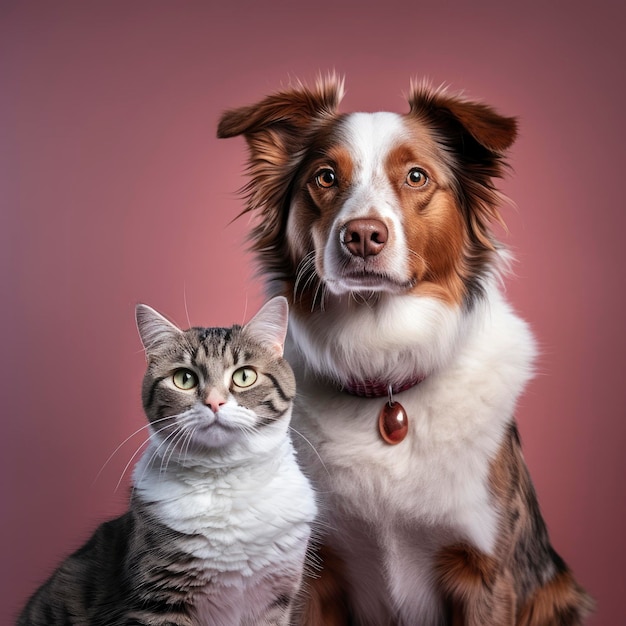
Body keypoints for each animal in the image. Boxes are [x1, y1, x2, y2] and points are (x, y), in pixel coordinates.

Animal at [18, 296, 316, 624]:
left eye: (244, 376)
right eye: (184, 379)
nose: (214, 402)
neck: (224, 478)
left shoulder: (274, 598)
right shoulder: (159, 598)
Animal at [217, 77, 592, 624]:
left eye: (416, 176)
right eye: (325, 177)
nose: (362, 236)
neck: (385, 372)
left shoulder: (485, 573)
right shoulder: (311, 570)